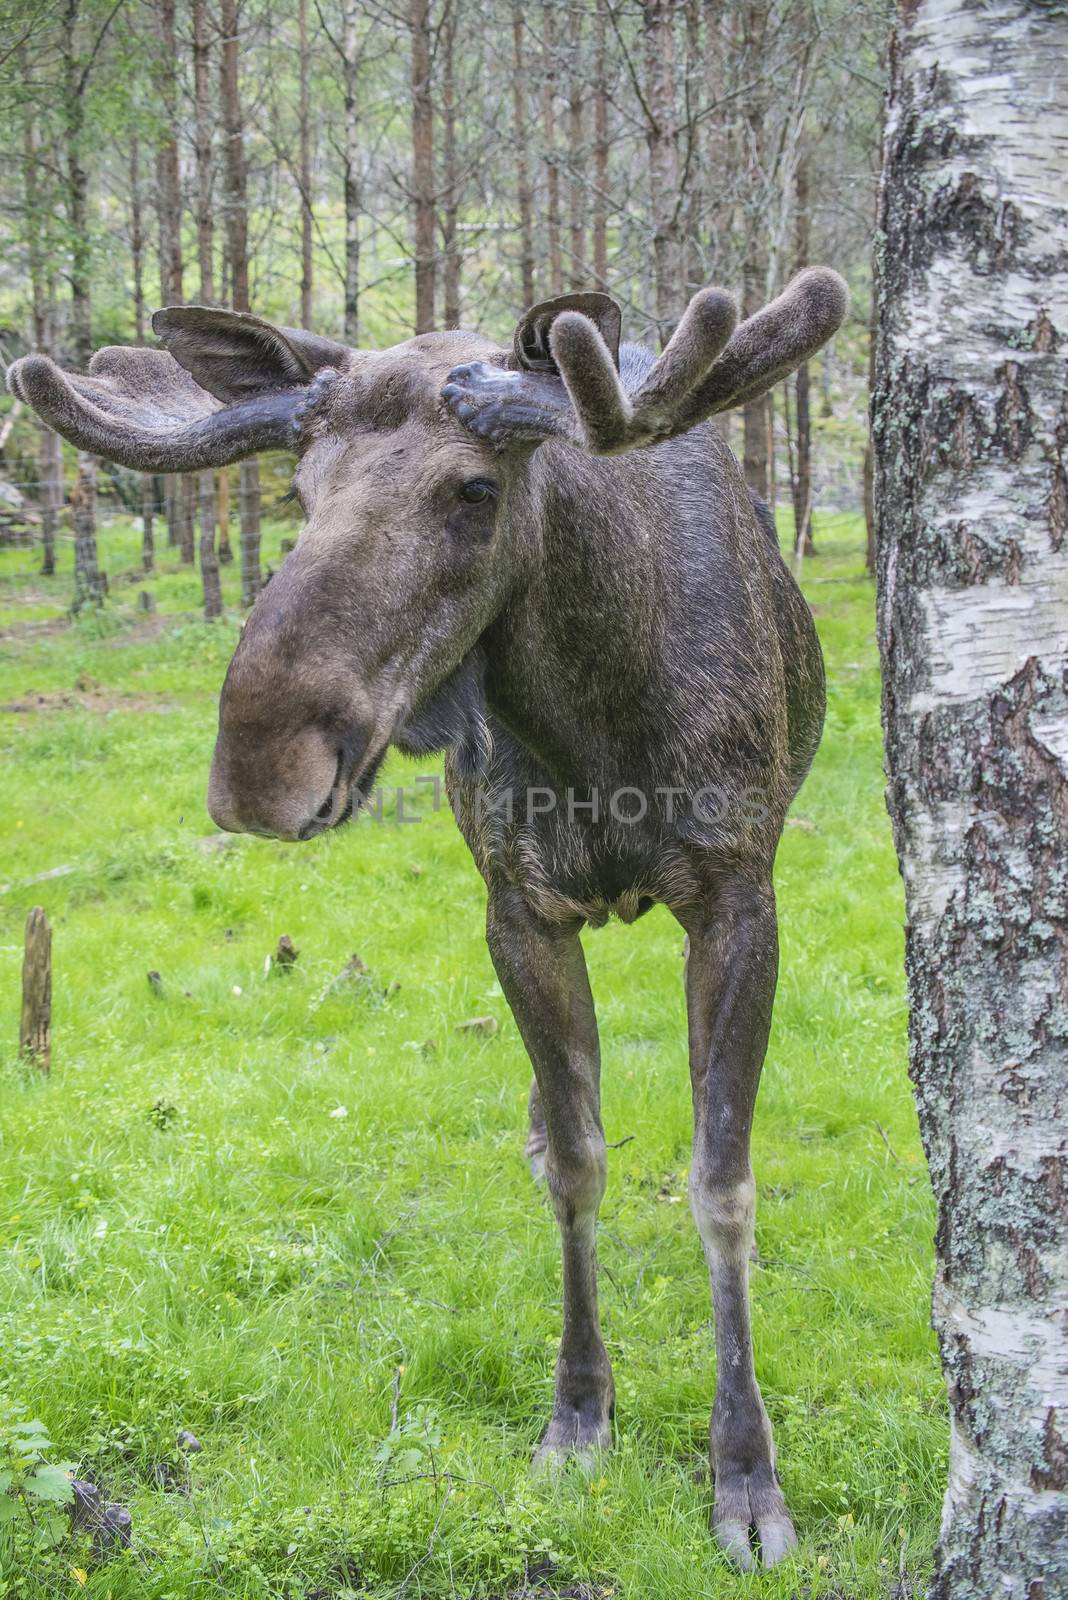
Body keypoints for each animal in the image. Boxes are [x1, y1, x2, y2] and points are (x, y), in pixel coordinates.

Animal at [6, 268, 844, 1568]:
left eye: (474, 490)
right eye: (300, 491)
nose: (261, 765)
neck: (597, 727)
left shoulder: (739, 894)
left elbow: (723, 1182)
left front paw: (746, 1477)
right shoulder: (517, 908)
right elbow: (580, 1163)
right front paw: (578, 1417)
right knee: (557, 1120)